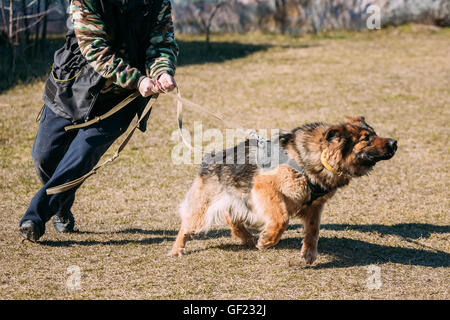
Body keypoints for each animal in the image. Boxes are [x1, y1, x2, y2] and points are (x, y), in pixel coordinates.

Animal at [170, 116, 398, 264]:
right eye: (366, 138)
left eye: (374, 134)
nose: (395, 142)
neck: (318, 158)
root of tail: (210, 157)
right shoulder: (266, 187)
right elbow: (282, 219)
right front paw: (268, 241)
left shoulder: (315, 206)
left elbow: (313, 230)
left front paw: (308, 254)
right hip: (205, 209)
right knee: (188, 225)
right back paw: (177, 249)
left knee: (231, 218)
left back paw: (247, 238)